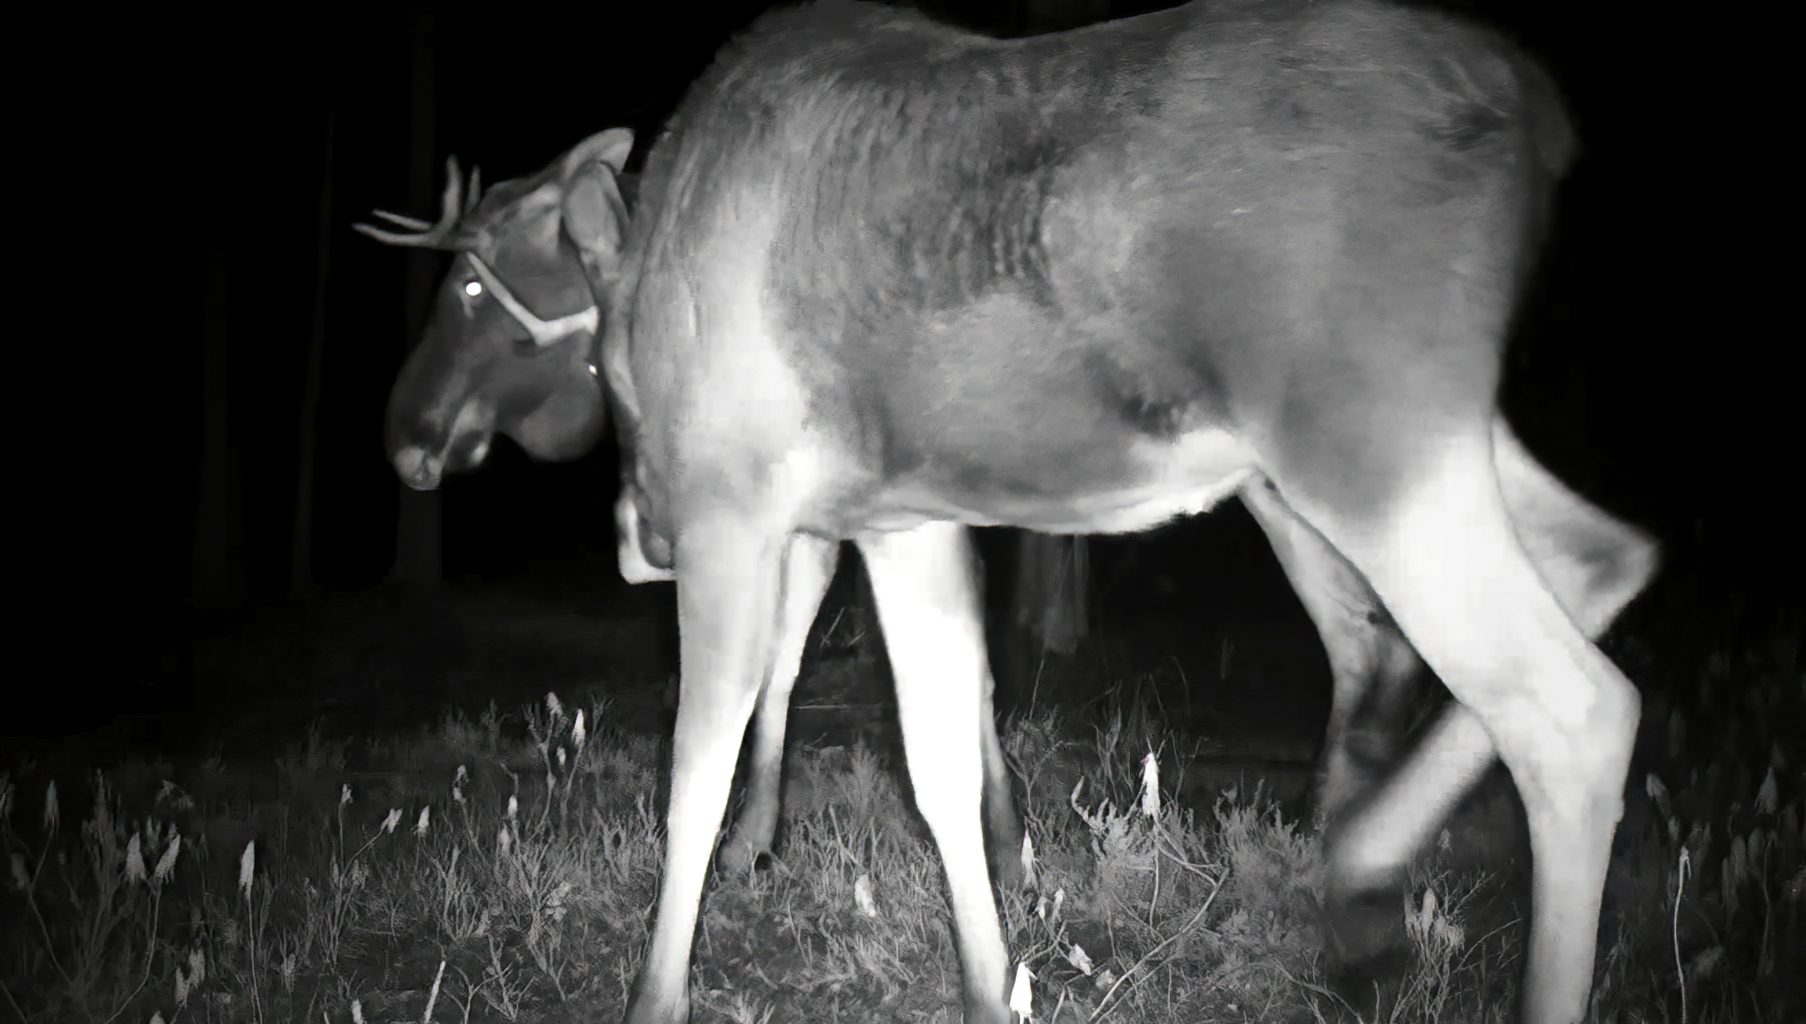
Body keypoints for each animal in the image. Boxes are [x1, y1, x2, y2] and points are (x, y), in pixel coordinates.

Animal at [359, 2, 1654, 1024]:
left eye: (466, 280)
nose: (403, 436)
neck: (633, 299)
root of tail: (1541, 113)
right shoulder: (899, 522)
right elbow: (937, 759)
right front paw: (991, 978)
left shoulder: (738, 515)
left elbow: (698, 771)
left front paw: (663, 984)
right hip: (1435, 438)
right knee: (1605, 558)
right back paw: (1362, 874)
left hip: (1363, 441)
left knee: (1566, 702)